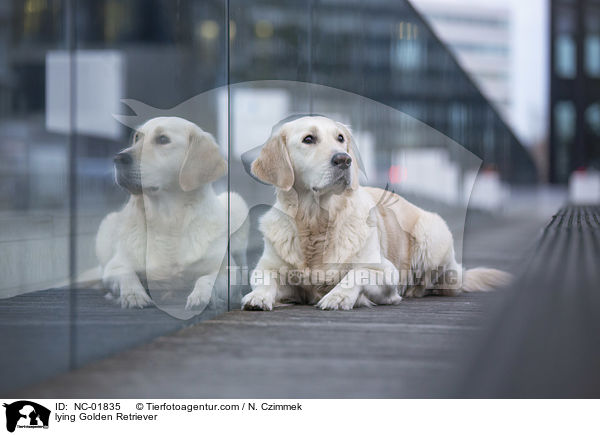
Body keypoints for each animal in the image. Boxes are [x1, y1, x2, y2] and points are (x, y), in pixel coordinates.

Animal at [97, 117, 247, 312]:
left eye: (162, 139)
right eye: (137, 137)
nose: (118, 158)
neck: (167, 221)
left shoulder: (228, 271)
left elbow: (206, 279)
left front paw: (202, 296)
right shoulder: (114, 267)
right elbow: (127, 275)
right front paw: (134, 295)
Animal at [241, 116, 508, 310]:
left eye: (340, 138)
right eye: (309, 139)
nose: (344, 159)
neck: (317, 220)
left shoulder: (386, 271)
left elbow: (357, 273)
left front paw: (338, 297)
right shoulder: (267, 266)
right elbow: (265, 279)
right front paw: (258, 296)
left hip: (431, 236)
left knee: (441, 284)